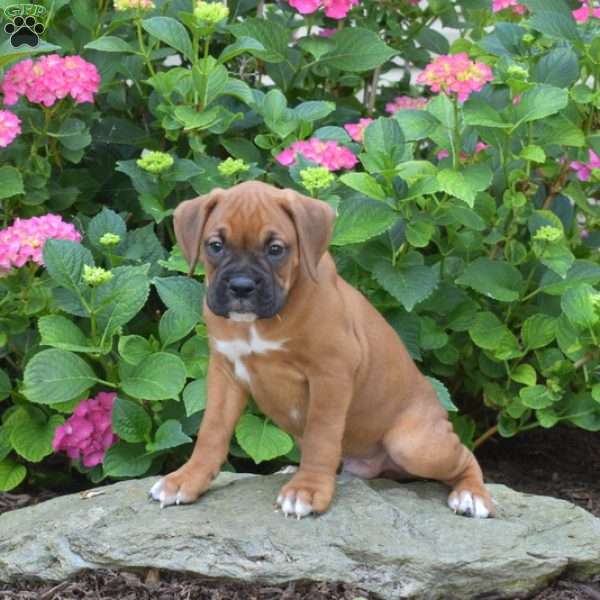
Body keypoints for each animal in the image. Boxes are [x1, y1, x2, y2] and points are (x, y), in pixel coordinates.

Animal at [149, 180, 492, 516]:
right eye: (215, 246)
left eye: (275, 250)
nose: (241, 286)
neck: (259, 323)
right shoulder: (225, 372)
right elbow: (212, 431)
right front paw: (187, 479)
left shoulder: (331, 374)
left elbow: (321, 434)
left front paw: (308, 489)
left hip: (413, 444)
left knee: (465, 457)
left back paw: (472, 496)